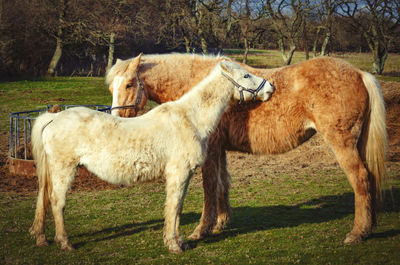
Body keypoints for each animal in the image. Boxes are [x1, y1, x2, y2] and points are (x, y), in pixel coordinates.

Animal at [28, 58, 276, 253]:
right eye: (246, 75)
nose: (271, 87)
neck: (190, 118)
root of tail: (54, 118)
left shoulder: (183, 175)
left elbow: (177, 208)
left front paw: (180, 242)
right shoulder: (178, 173)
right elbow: (174, 207)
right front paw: (174, 245)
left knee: (44, 198)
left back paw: (42, 238)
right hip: (64, 169)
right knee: (57, 202)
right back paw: (65, 243)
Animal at [106, 53, 388, 243]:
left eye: (129, 84)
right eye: (111, 87)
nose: (117, 117)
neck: (202, 89)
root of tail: (358, 73)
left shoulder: (210, 150)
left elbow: (209, 186)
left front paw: (201, 230)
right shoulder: (219, 150)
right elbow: (222, 184)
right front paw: (220, 223)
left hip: (342, 143)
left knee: (360, 178)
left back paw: (357, 233)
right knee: (369, 178)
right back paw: (369, 225)